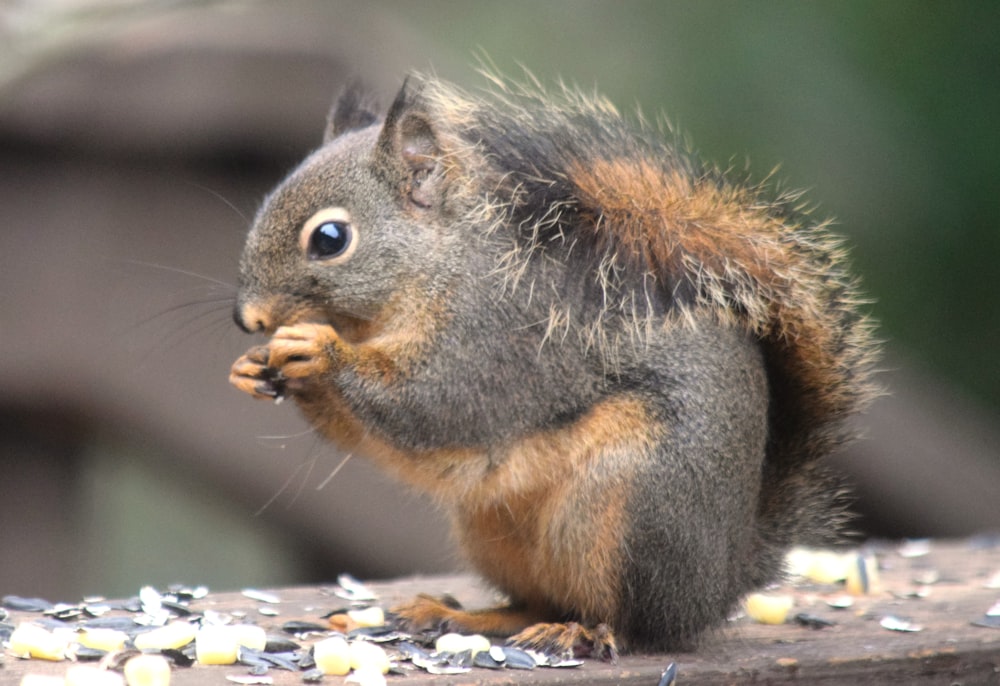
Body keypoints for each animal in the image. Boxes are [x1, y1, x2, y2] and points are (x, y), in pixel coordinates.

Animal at [230, 72, 880, 660]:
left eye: (330, 238)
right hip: (495, 529)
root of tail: (722, 582)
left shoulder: (494, 337)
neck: (435, 266)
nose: (248, 318)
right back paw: (459, 615)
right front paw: (252, 368)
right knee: (535, 602)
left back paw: (586, 634)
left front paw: (319, 351)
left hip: (630, 509)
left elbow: (431, 404)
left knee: (637, 624)